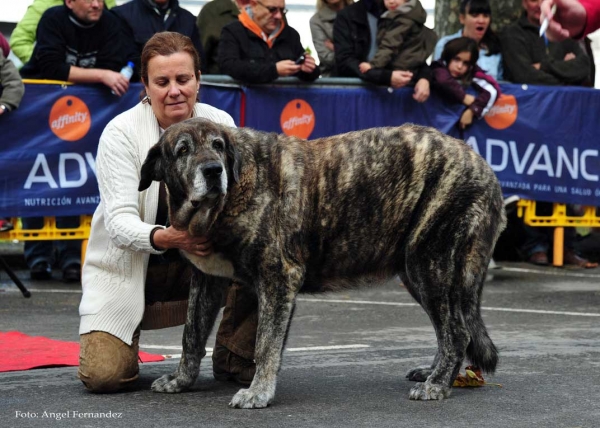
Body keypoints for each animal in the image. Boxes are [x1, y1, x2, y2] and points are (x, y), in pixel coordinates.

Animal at [138, 117, 504, 408]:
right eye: (182, 150)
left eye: (217, 145)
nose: (214, 170)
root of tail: (483, 165)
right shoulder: (206, 280)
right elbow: (191, 335)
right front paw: (181, 380)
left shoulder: (278, 278)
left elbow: (265, 344)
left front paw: (258, 392)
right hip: (418, 273)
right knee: (448, 330)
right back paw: (434, 373)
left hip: (428, 264)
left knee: (456, 332)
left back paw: (438, 384)